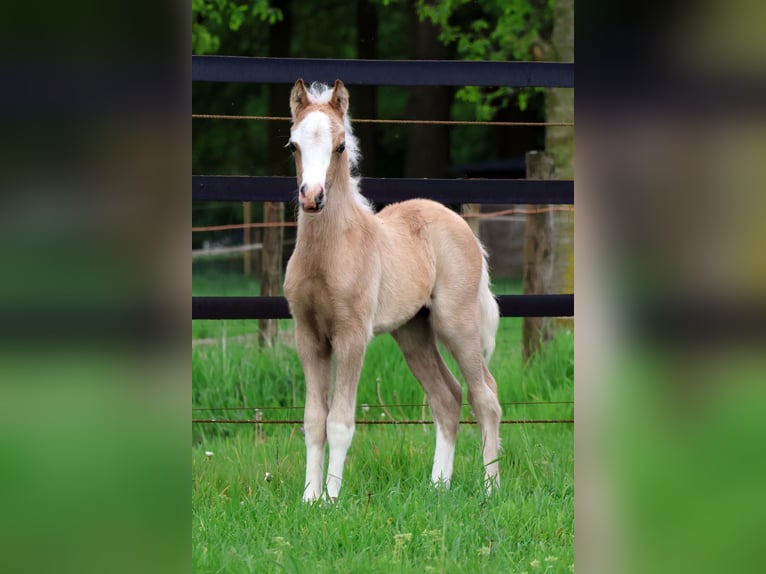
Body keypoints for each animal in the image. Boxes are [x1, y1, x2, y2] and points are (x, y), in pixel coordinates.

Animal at [282, 79, 504, 502]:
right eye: (293, 145)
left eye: (340, 146)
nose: (312, 197)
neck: (329, 253)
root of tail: (460, 224)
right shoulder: (308, 336)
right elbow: (314, 420)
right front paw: (307, 498)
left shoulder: (352, 335)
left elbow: (339, 422)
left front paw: (330, 501)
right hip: (413, 331)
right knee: (447, 397)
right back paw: (438, 486)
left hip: (456, 323)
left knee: (485, 395)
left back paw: (490, 488)